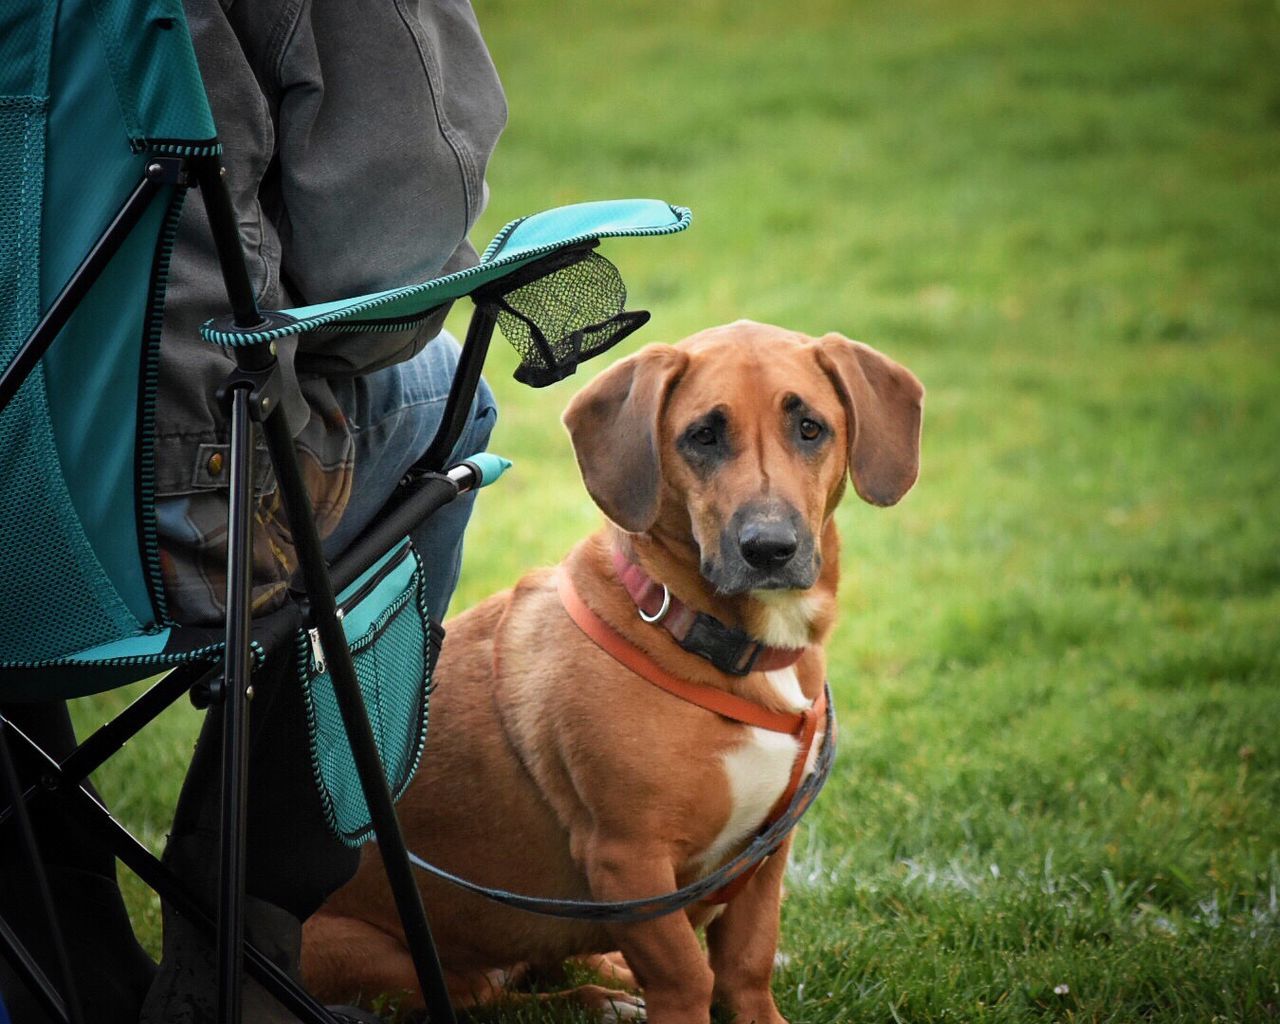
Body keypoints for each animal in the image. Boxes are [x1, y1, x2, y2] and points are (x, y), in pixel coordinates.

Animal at [299, 322, 921, 1024]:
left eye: (811, 428)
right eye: (703, 436)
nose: (769, 549)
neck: (705, 635)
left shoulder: (765, 855)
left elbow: (745, 965)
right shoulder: (628, 861)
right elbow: (686, 977)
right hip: (385, 958)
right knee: (489, 997)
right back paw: (599, 1000)